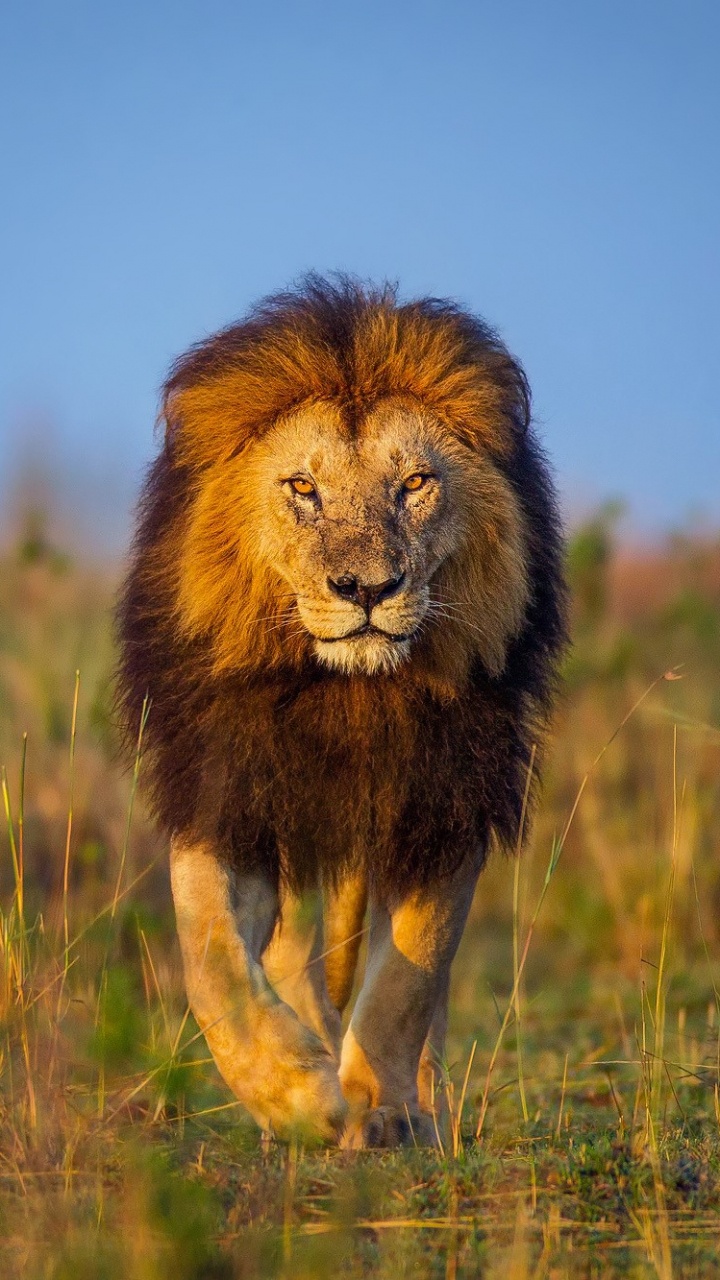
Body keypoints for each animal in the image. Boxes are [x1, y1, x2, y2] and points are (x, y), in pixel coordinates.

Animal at [116, 274, 567, 1147]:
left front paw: (382, 1109)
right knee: (290, 957)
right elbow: (211, 960)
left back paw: (419, 1106)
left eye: (415, 483)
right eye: (303, 487)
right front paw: (298, 1096)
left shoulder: (443, 801)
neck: (348, 694)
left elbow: (408, 980)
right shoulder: (229, 794)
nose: (366, 589)